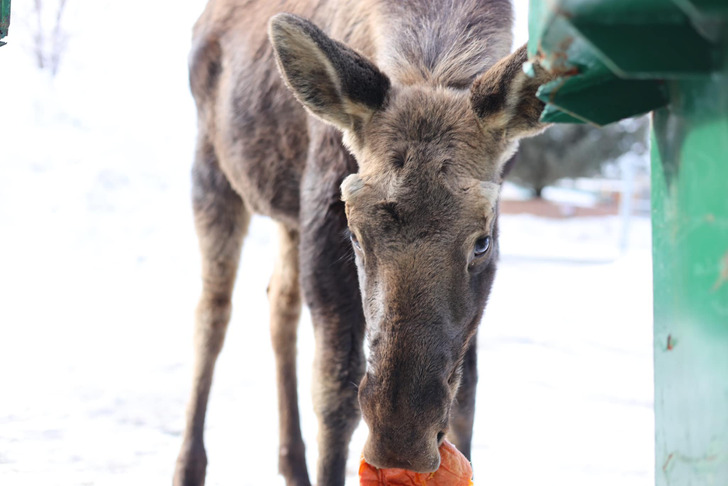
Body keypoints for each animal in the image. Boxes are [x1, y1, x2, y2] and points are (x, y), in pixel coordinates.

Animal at [175, 0, 552, 486]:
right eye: (354, 233)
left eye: (483, 242)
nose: (400, 441)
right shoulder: (322, 211)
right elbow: (334, 394)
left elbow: (467, 393)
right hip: (214, 173)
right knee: (212, 314)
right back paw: (189, 465)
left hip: (286, 213)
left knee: (279, 304)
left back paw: (292, 463)